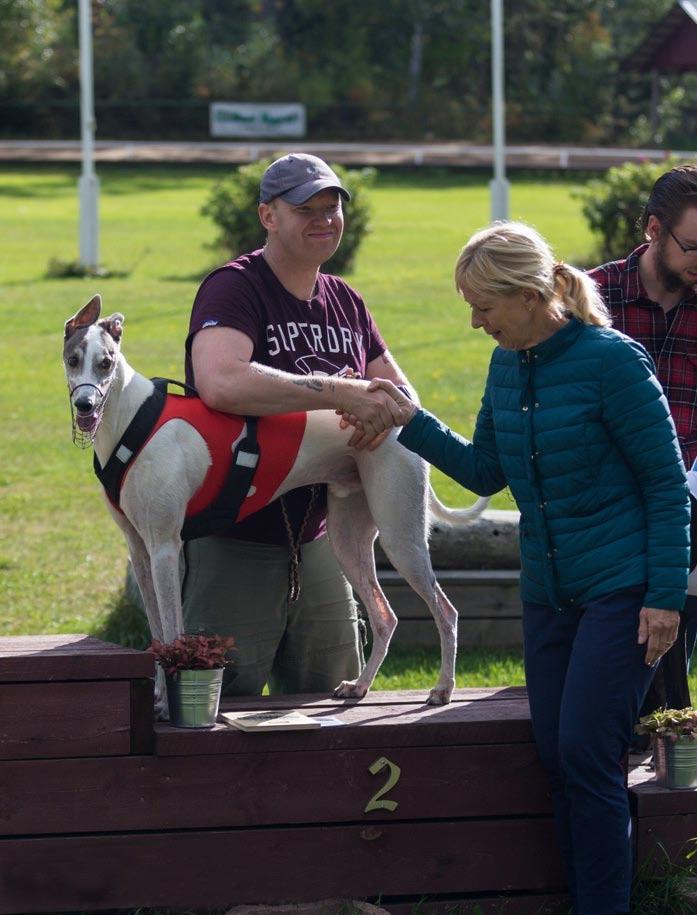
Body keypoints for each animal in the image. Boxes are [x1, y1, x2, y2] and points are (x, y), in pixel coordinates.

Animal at [65, 296, 486, 716]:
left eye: (106, 362)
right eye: (72, 359)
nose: (85, 405)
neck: (132, 420)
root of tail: (402, 416)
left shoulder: (165, 547)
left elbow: (171, 632)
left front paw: (169, 703)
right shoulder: (140, 551)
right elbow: (156, 636)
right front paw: (158, 697)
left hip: (400, 536)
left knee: (445, 611)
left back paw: (442, 688)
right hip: (348, 538)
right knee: (385, 616)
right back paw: (360, 685)